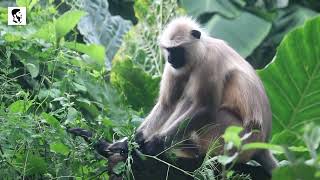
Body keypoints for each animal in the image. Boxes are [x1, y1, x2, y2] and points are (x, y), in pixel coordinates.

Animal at [135, 16, 278, 174]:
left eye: (177, 50)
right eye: (169, 50)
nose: (170, 59)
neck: (200, 52)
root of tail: (262, 144)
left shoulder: (209, 61)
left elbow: (206, 109)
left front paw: (156, 143)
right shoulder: (174, 68)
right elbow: (167, 105)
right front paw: (135, 139)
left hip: (242, 139)